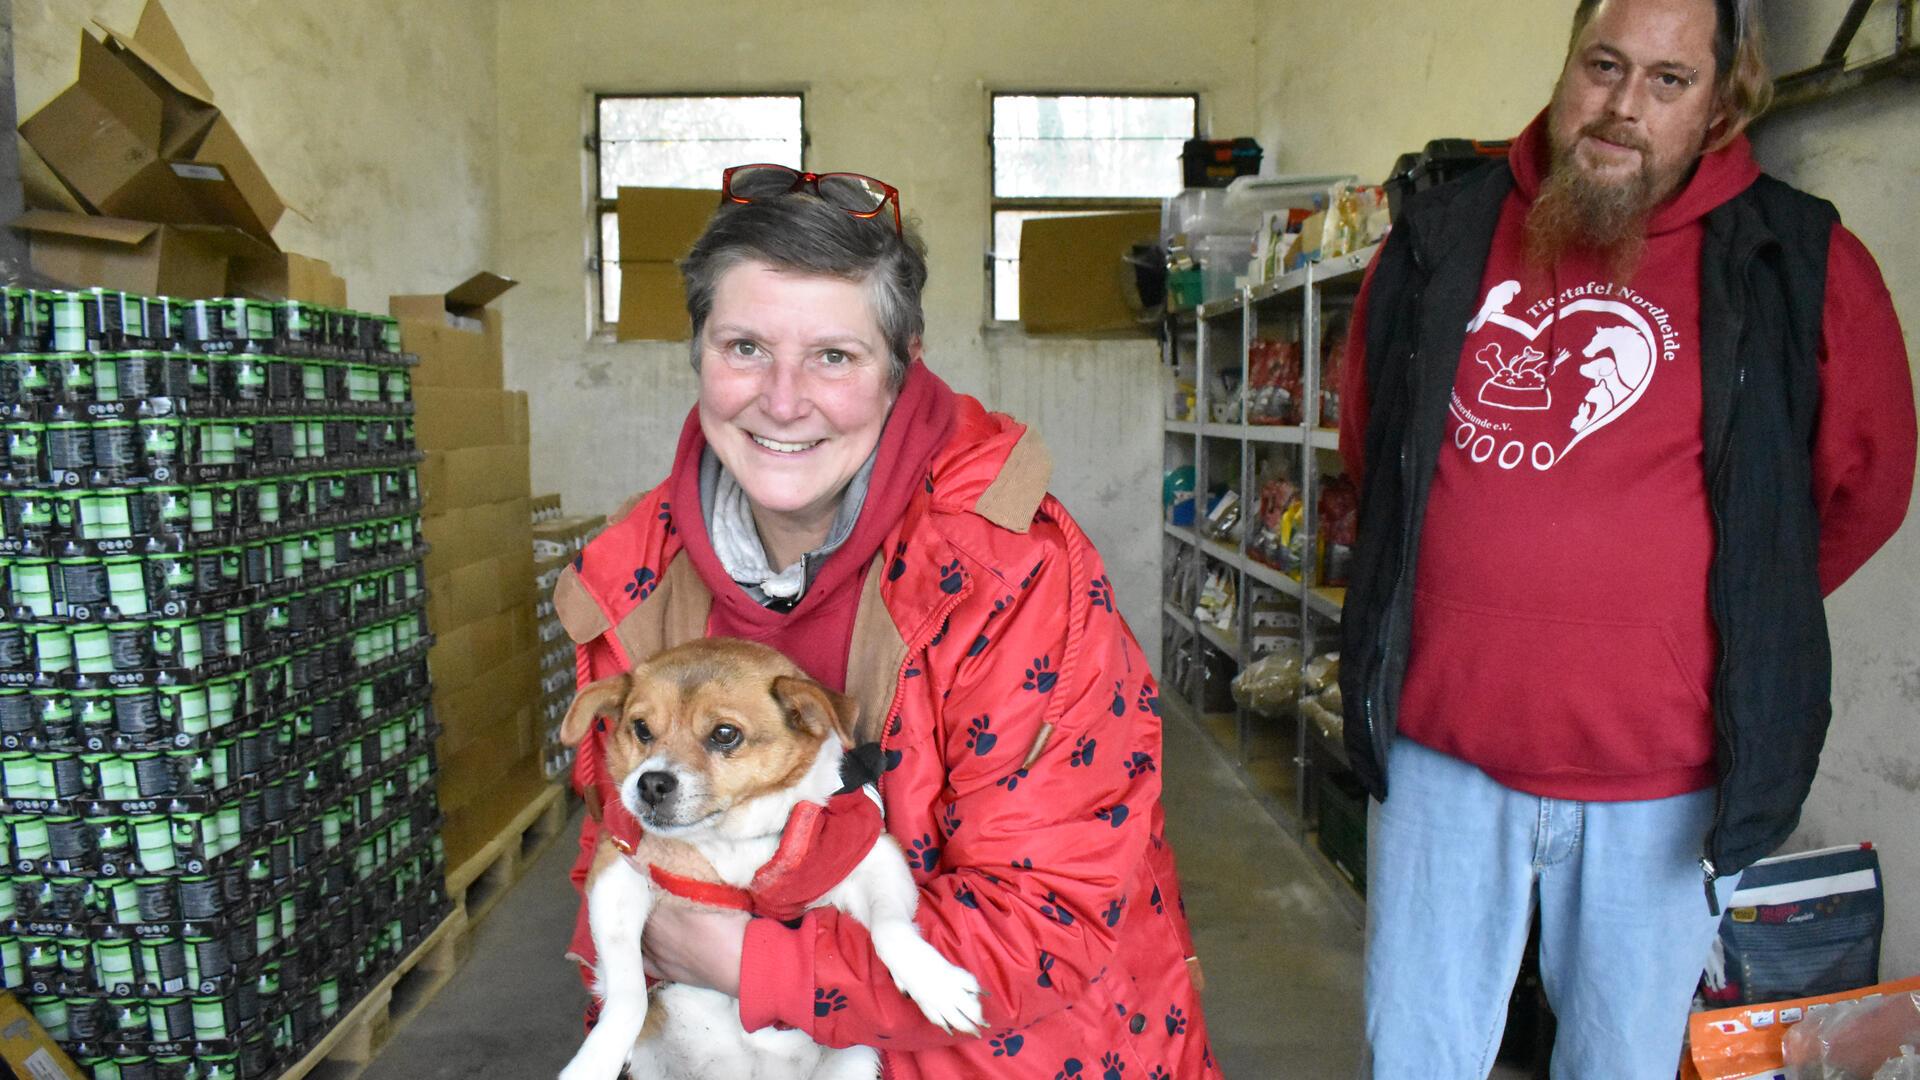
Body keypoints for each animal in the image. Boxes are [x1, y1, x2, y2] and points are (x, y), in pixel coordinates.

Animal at [552, 638, 975, 1076]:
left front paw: (934, 983)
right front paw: (594, 1061)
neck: (732, 840)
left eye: (725, 734)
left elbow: (890, 927)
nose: (650, 784)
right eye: (641, 729)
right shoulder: (617, 876)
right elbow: (627, 994)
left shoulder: (874, 860)